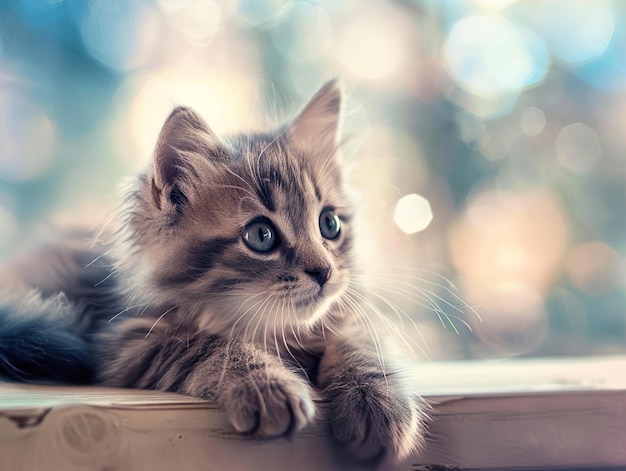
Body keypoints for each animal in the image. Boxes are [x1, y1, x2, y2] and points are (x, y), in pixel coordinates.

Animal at [0, 80, 426, 460]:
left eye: (330, 225)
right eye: (261, 235)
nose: (324, 272)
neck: (273, 331)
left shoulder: (348, 315)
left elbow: (361, 341)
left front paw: (378, 401)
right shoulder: (125, 342)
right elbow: (208, 345)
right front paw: (265, 384)